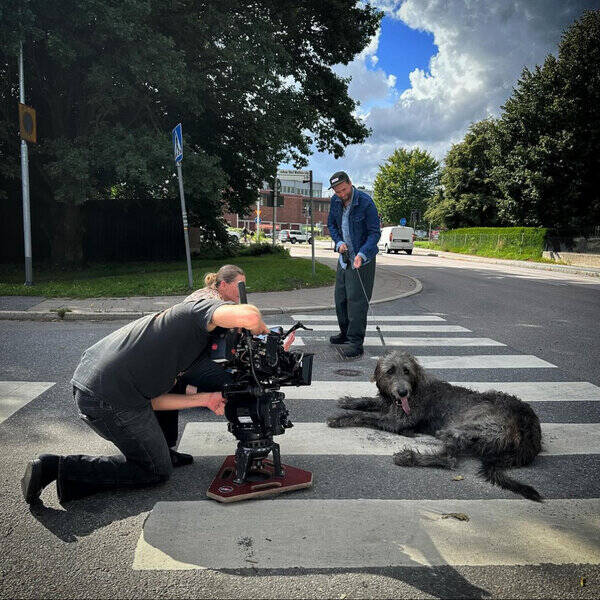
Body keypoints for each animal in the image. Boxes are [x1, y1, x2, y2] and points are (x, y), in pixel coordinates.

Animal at [328, 352, 544, 502]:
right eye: (390, 371)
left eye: (406, 370)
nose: (403, 392)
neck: (416, 387)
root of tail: (530, 429)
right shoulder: (390, 404)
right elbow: (371, 402)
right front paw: (350, 401)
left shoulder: (399, 419)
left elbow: (367, 417)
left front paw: (341, 418)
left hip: (468, 426)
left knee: (449, 459)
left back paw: (409, 457)